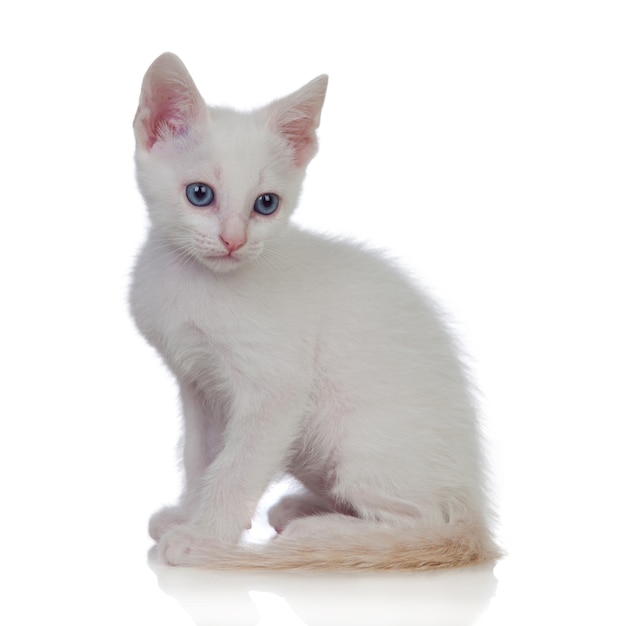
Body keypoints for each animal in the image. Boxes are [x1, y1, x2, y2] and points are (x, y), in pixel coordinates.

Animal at [128, 53, 498, 568]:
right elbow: (201, 457)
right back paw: (304, 510)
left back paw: (322, 533)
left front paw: (204, 537)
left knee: (424, 523)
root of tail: (474, 505)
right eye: (199, 194)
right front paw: (189, 514)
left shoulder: (276, 389)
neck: (198, 284)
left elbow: (237, 468)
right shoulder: (198, 385)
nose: (234, 240)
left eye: (266, 204)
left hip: (358, 441)